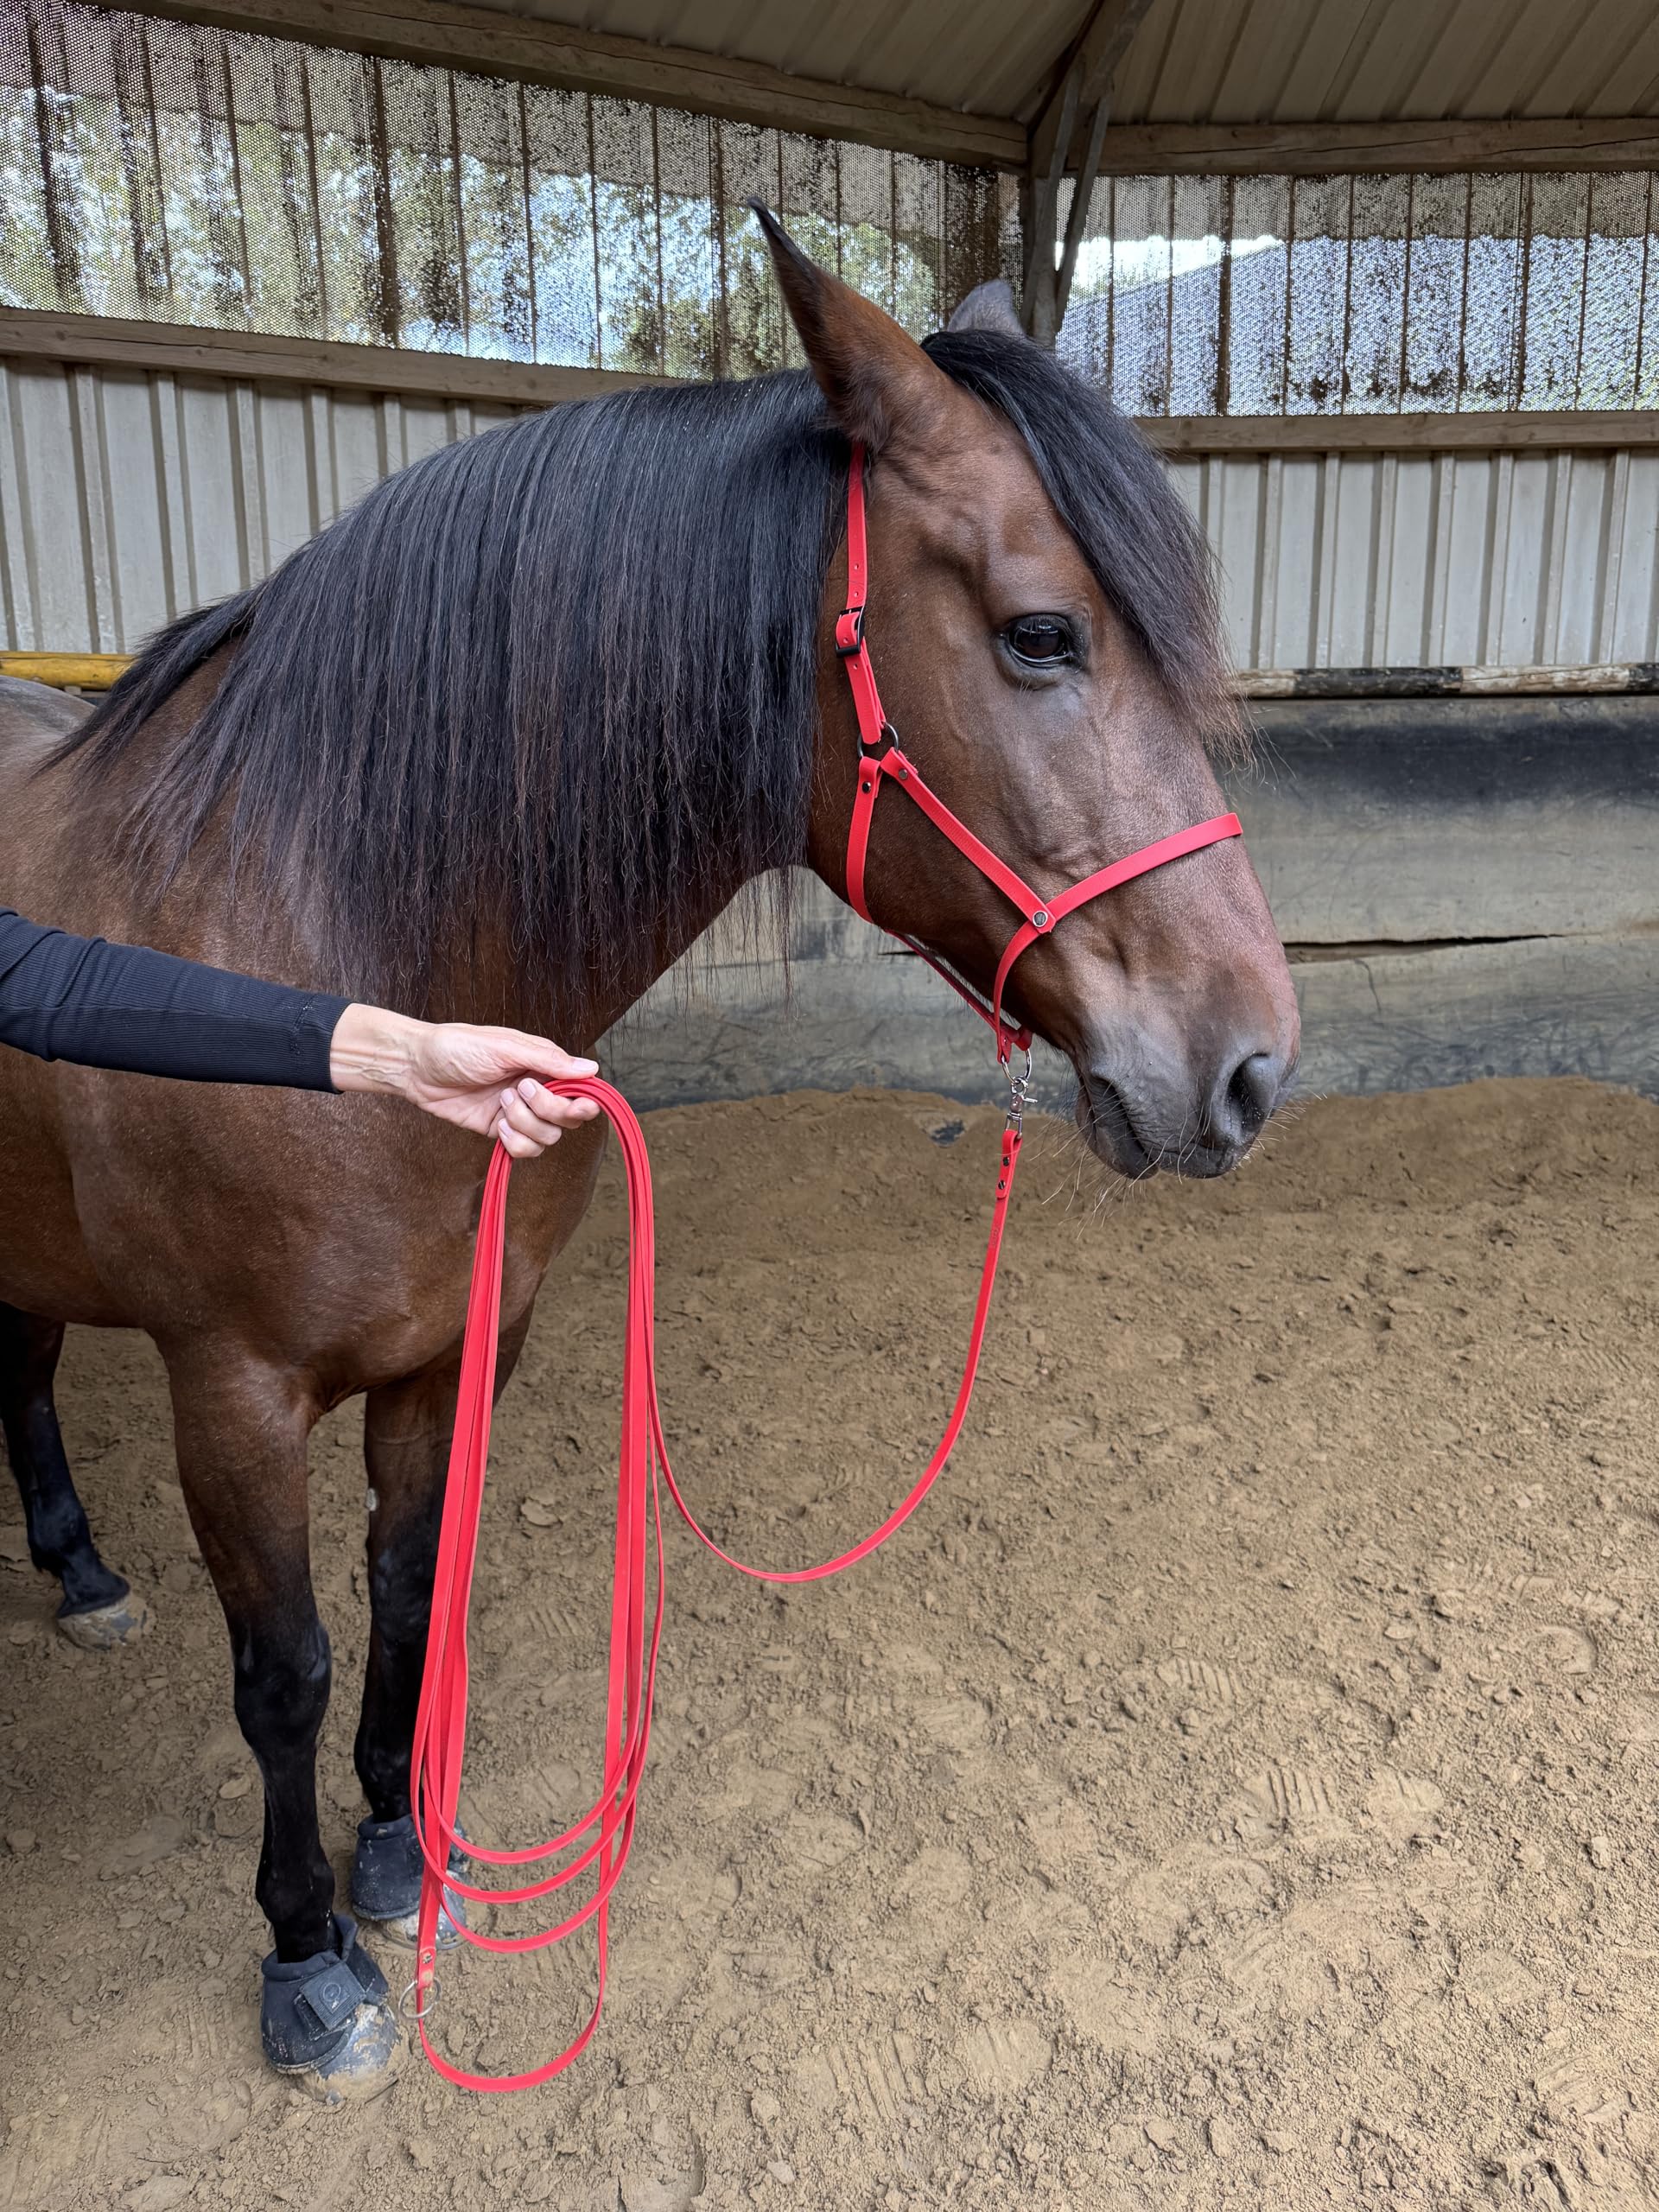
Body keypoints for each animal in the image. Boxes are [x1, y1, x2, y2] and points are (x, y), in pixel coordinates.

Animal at [0, 210, 1299, 2094]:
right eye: (1043, 634)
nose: (1250, 1066)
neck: (325, 926)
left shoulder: (459, 1348)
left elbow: (412, 1600)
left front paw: (405, 1859)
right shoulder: (227, 1387)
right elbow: (288, 1670)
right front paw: (310, 1959)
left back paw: (82, 1570)